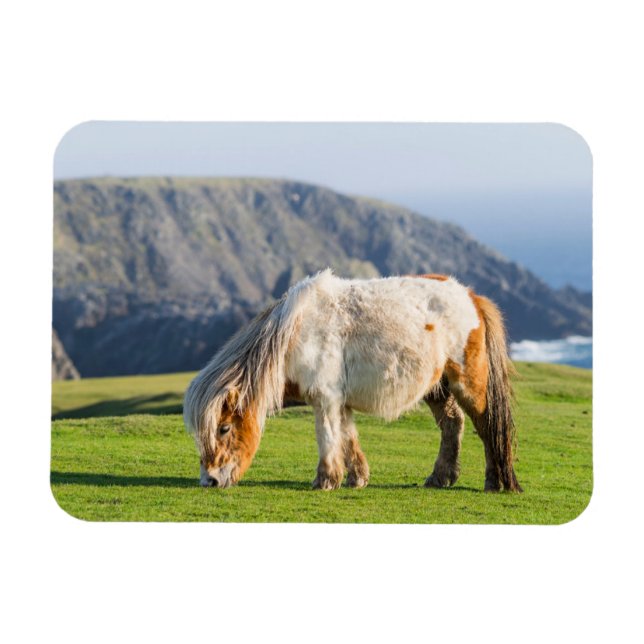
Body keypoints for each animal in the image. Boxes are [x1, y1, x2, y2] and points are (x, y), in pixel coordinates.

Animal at [183, 269, 522, 492]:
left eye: (224, 428)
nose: (209, 480)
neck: (295, 333)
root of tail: (471, 297)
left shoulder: (325, 398)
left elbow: (328, 436)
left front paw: (324, 480)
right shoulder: (339, 401)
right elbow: (347, 437)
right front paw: (356, 478)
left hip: (468, 384)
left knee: (487, 426)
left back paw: (494, 482)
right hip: (437, 388)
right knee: (453, 423)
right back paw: (441, 477)